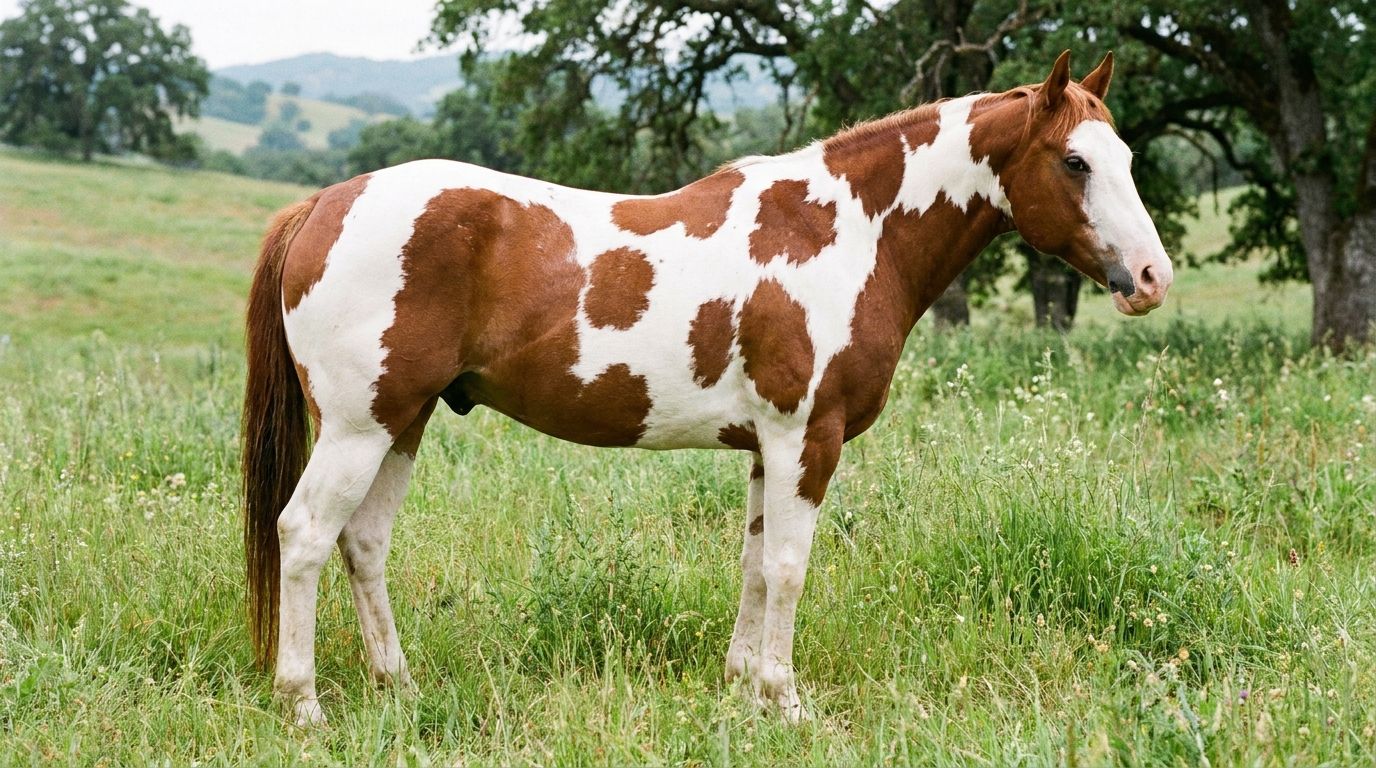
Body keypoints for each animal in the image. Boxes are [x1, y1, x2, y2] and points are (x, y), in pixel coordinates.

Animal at [241, 50, 1173, 726]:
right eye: (1075, 161)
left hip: (401, 422)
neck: (843, 230)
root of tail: (326, 202)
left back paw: (397, 685)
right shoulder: (806, 438)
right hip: (359, 428)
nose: (1152, 278)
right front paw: (787, 703)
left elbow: (756, 565)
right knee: (305, 535)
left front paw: (743, 685)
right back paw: (303, 705)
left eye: (1126, 158)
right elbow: (791, 568)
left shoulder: (768, 447)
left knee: (364, 544)